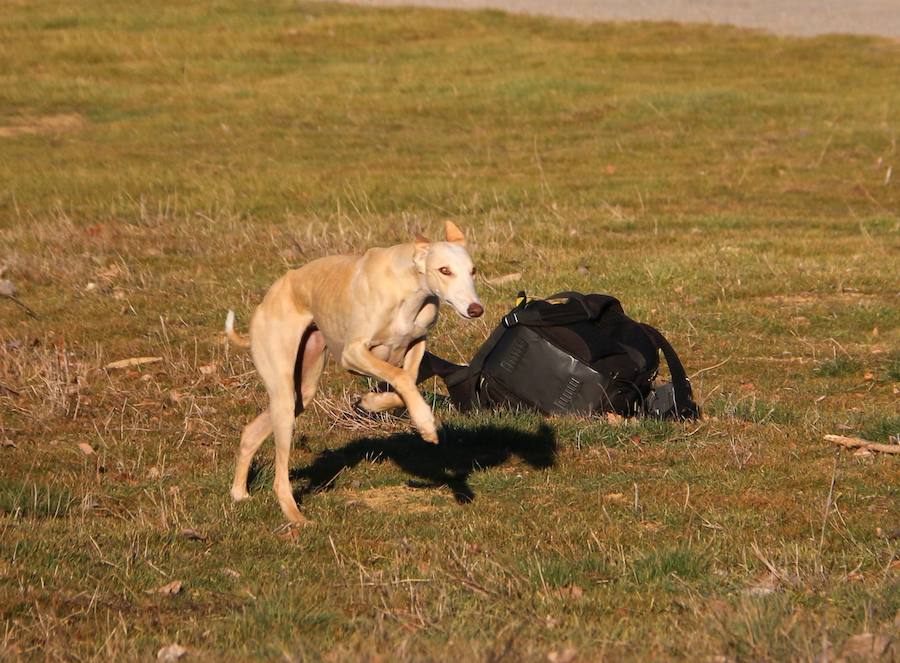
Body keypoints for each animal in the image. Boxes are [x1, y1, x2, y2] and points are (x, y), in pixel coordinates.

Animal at [225, 223, 482, 524]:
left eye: (473, 270)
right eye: (444, 270)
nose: (476, 309)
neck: (408, 287)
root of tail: (267, 300)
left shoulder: (417, 343)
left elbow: (406, 381)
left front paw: (373, 402)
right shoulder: (353, 353)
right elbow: (401, 377)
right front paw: (426, 424)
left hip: (303, 389)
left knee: (251, 432)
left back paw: (240, 493)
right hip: (284, 392)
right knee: (280, 475)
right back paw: (295, 516)